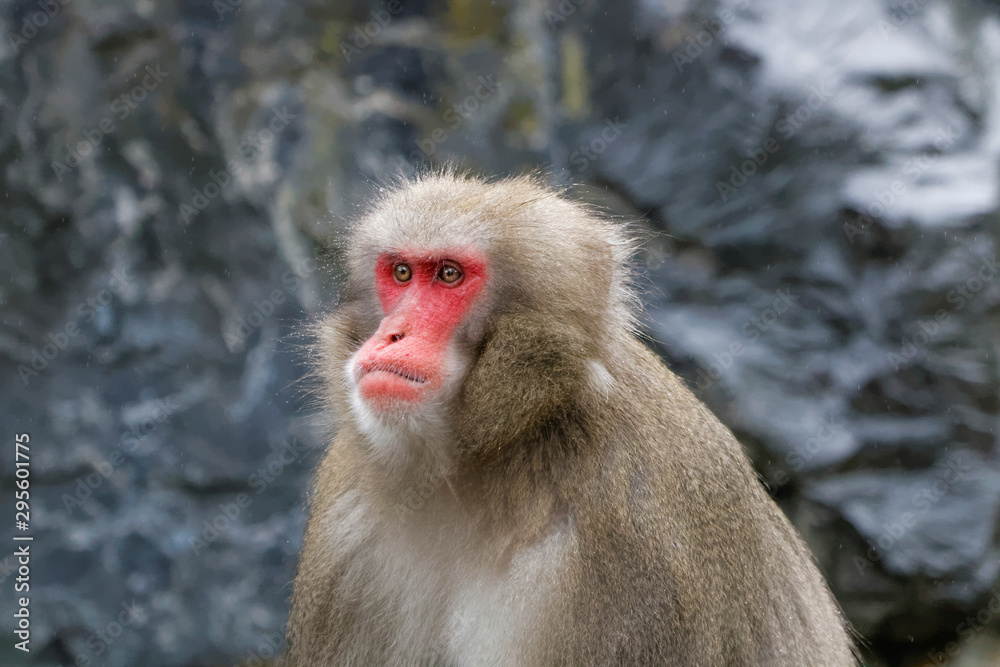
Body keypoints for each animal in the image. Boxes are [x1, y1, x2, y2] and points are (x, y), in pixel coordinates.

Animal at [284, 170, 860, 664]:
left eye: (449, 275)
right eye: (401, 272)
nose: (391, 334)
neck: (486, 461)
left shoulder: (631, 546)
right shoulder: (347, 520)